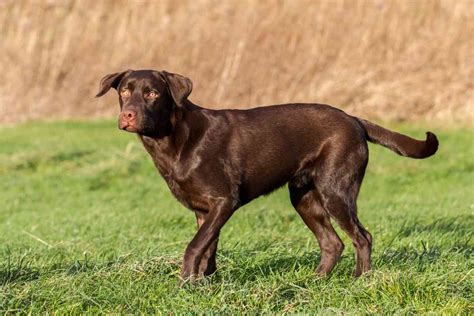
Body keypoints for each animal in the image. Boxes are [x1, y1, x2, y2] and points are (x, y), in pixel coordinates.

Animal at [97, 69, 440, 278]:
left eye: (152, 94)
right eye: (124, 92)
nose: (128, 116)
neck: (173, 139)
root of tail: (354, 119)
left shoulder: (224, 201)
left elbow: (194, 246)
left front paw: (185, 283)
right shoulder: (203, 210)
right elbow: (208, 249)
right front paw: (205, 286)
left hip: (336, 191)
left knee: (362, 237)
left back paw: (360, 280)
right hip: (304, 197)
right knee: (333, 243)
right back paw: (316, 282)